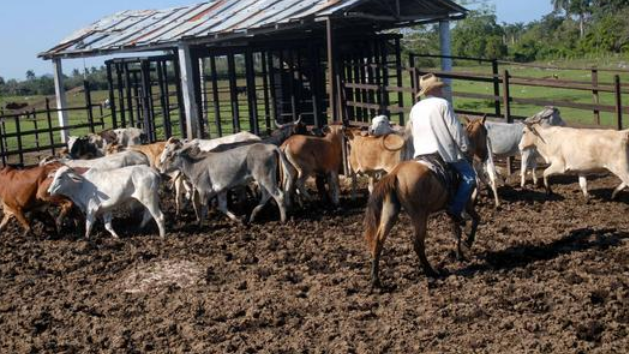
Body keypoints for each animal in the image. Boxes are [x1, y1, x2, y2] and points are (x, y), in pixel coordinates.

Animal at [364, 116, 490, 288]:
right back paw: (431, 271)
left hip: (390, 212)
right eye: (485, 132)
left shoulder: (453, 210)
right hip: (419, 215)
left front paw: (459, 254)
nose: (485, 156)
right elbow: (475, 220)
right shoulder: (466, 204)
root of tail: (395, 173)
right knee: (418, 244)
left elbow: (456, 230)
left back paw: (375, 280)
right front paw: (468, 243)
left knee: (378, 241)